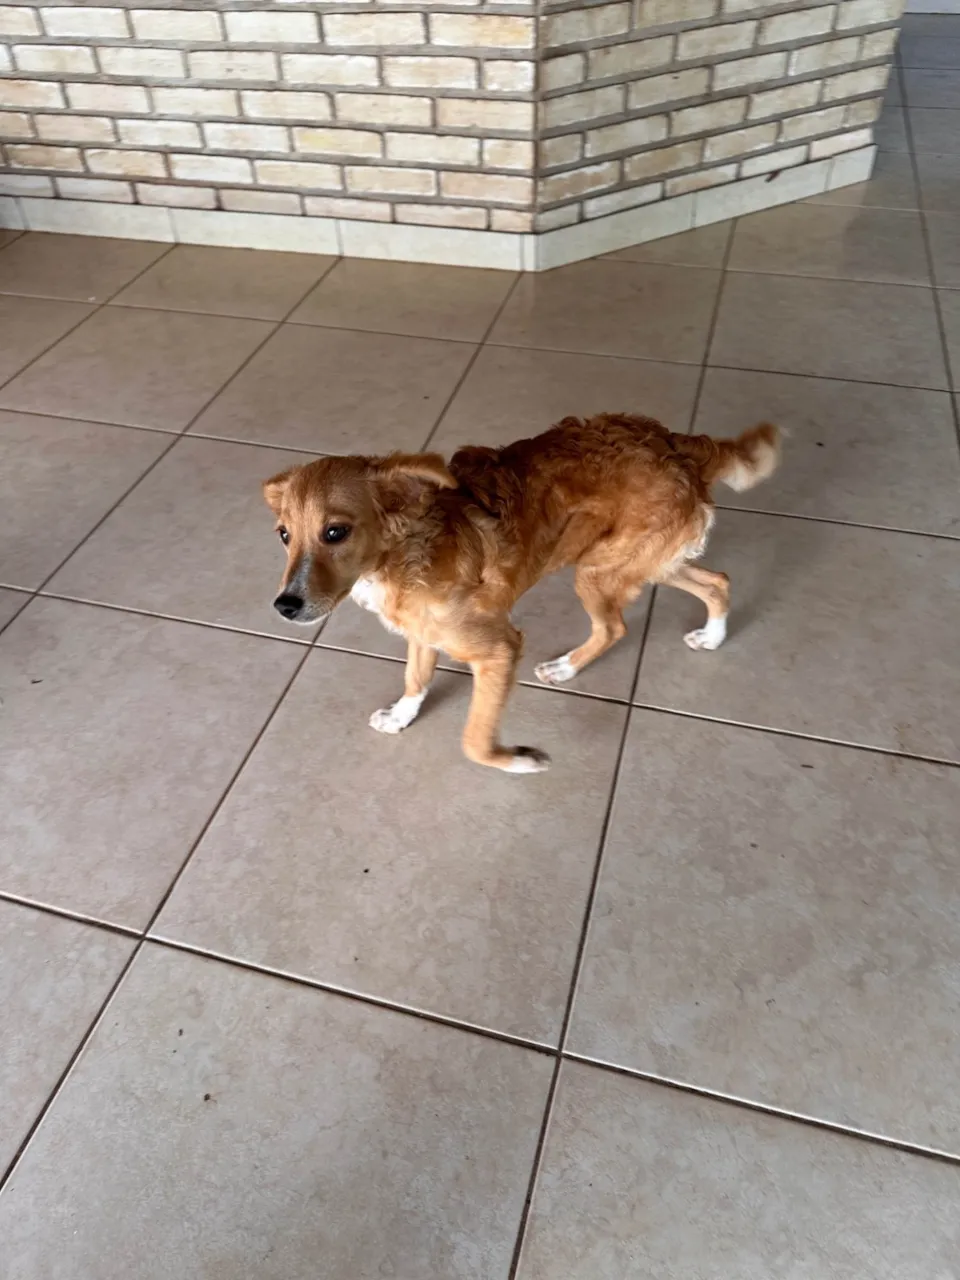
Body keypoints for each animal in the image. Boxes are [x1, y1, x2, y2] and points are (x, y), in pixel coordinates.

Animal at [263, 413, 780, 773]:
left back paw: (567, 666)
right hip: (646, 563)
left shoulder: (499, 651)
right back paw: (713, 636)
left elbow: (474, 740)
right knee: (717, 581)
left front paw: (520, 760)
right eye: (284, 535)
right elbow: (416, 678)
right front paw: (401, 716)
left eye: (335, 532)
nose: (284, 606)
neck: (403, 552)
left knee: (614, 627)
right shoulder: (424, 632)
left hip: (599, 571)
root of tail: (679, 445)